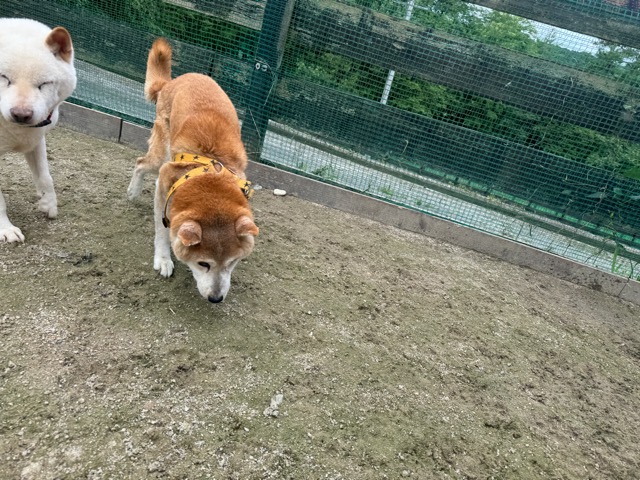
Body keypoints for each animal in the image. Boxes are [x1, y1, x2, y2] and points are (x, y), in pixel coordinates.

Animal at [0, 18, 76, 243]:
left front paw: (48, 203)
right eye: (4, 78)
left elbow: (45, 177)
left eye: (44, 84)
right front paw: (5, 228)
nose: (21, 114)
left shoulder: (36, 139)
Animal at [127, 38, 258, 303]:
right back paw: (133, 192)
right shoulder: (165, 182)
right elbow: (162, 230)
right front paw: (163, 259)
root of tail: (173, 81)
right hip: (160, 153)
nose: (216, 299)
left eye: (232, 263)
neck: (211, 170)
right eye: (203, 264)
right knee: (140, 162)